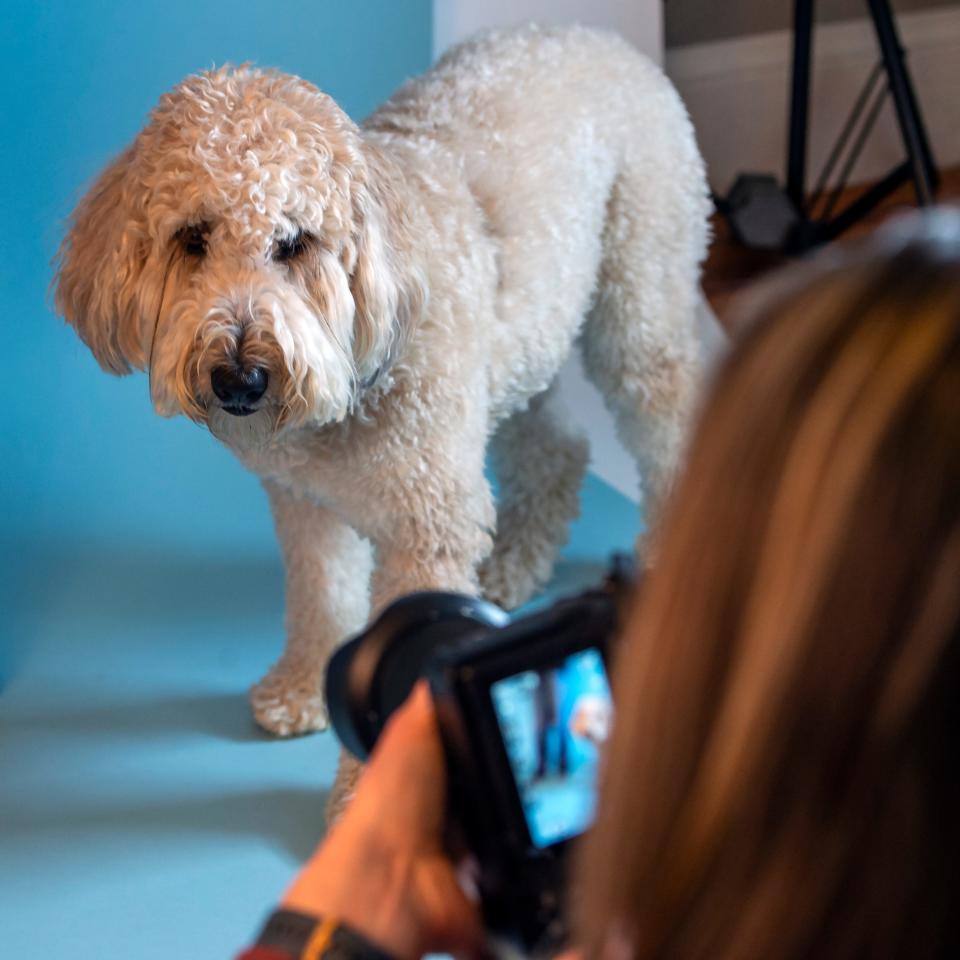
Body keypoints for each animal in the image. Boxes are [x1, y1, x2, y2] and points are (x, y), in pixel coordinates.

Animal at [56, 26, 708, 760]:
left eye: (295, 243)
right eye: (192, 239)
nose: (239, 377)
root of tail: (595, 34)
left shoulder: (429, 526)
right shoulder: (307, 505)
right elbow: (322, 597)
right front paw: (302, 687)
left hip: (639, 305)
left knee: (668, 408)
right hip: (522, 344)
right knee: (559, 447)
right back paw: (514, 562)